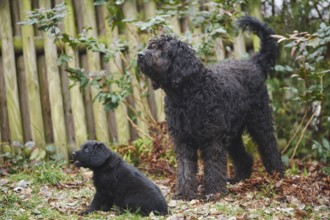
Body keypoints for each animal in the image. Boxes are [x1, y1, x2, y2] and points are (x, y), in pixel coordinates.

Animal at [137, 16, 284, 200]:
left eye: (162, 49)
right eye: (151, 46)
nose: (140, 55)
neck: (188, 96)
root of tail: (253, 64)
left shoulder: (212, 139)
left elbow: (214, 166)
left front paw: (214, 192)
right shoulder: (183, 140)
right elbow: (185, 168)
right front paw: (185, 192)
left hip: (260, 122)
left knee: (270, 148)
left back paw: (278, 176)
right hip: (233, 134)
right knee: (245, 158)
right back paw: (238, 178)